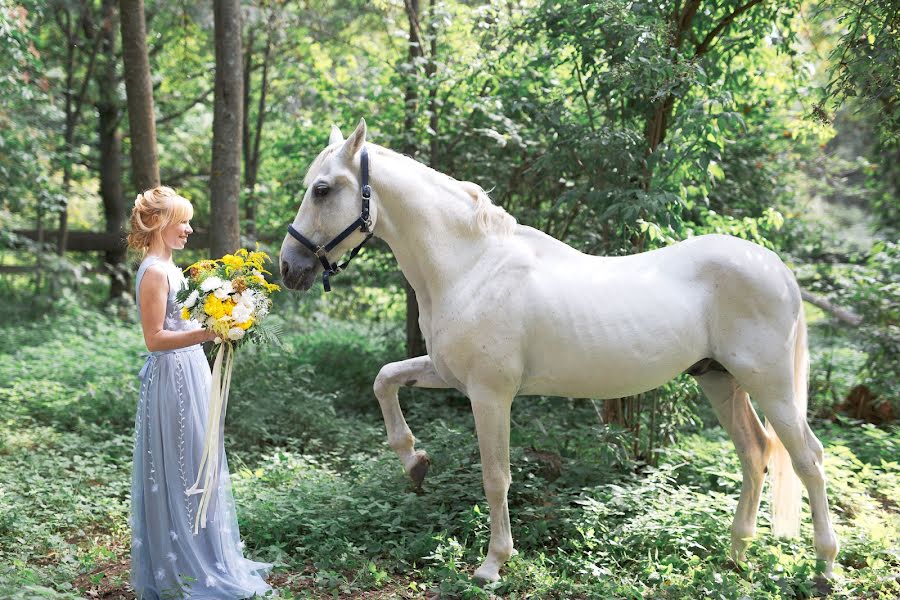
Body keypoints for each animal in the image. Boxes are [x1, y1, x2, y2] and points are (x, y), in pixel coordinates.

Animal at [278, 118, 840, 580]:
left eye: (323, 189)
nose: (289, 268)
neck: (472, 267)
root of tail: (774, 267)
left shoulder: (490, 395)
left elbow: (496, 476)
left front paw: (493, 564)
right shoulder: (445, 373)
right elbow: (385, 378)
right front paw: (414, 461)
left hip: (771, 386)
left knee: (808, 458)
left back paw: (825, 566)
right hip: (719, 378)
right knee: (754, 452)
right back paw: (736, 554)